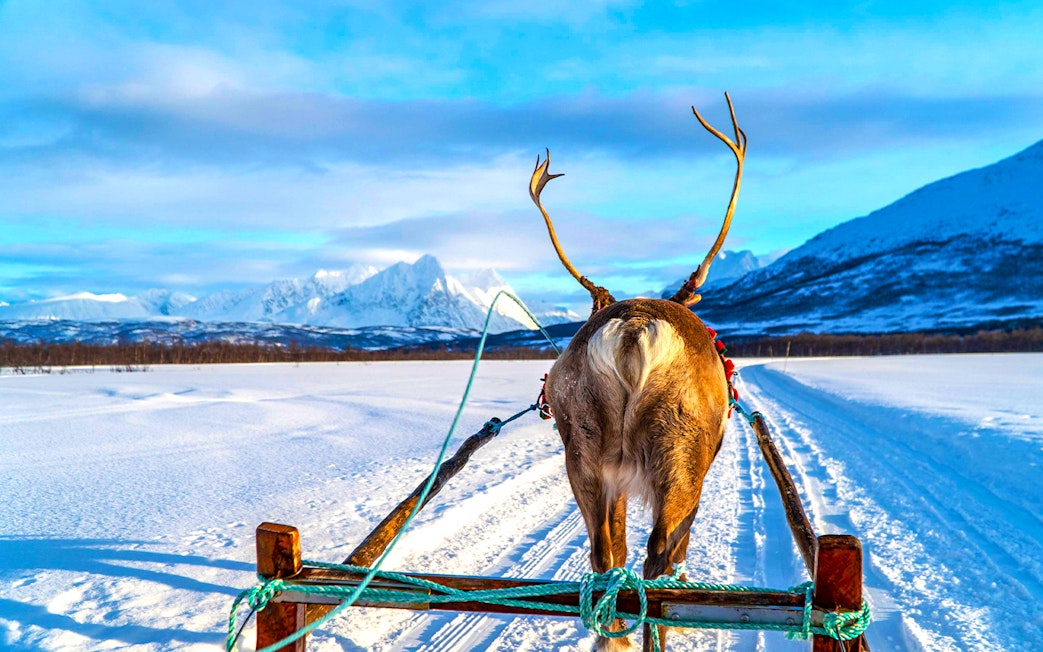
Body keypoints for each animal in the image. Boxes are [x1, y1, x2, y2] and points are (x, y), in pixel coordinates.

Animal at [529, 93, 746, 652]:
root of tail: (633, 329)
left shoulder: (616, 476)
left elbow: (616, 546)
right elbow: (675, 552)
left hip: (584, 451)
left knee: (604, 556)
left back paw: (611, 637)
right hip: (680, 456)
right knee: (656, 563)